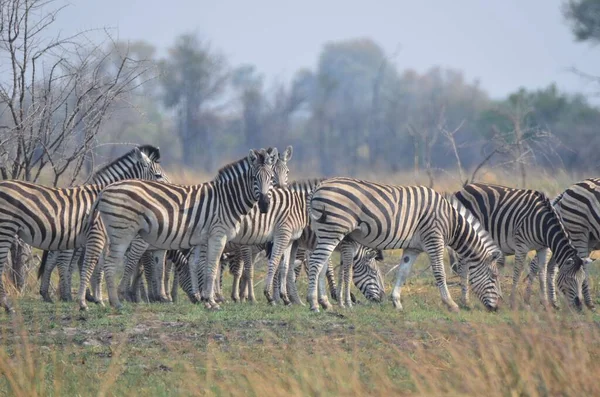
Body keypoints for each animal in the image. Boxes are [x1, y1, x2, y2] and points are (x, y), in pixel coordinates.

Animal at [0, 145, 166, 312]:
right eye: (158, 175)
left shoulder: (102, 239)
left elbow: (99, 268)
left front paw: (99, 300)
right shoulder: (97, 234)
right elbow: (89, 266)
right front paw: (84, 302)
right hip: (7, 229)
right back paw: (10, 306)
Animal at [78, 147, 278, 310]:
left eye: (271, 178)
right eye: (254, 178)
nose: (265, 204)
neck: (226, 200)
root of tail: (104, 190)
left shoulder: (203, 239)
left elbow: (201, 266)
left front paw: (206, 300)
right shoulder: (217, 235)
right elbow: (212, 267)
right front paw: (212, 302)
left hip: (112, 233)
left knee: (102, 263)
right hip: (123, 233)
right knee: (110, 264)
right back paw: (116, 303)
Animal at [304, 178, 502, 310]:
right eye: (493, 277)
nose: (496, 308)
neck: (452, 222)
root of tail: (318, 188)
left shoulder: (413, 248)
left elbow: (403, 272)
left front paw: (396, 301)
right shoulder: (434, 240)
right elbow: (440, 272)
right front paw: (450, 303)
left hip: (325, 233)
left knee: (323, 265)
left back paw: (325, 303)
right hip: (332, 231)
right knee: (315, 263)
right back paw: (313, 303)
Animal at [450, 183, 592, 310]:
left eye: (582, 280)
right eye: (570, 279)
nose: (579, 306)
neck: (543, 225)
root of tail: (462, 189)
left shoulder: (543, 248)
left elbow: (542, 272)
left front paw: (545, 303)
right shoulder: (521, 246)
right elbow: (517, 272)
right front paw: (513, 302)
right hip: (465, 236)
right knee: (463, 268)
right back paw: (465, 301)